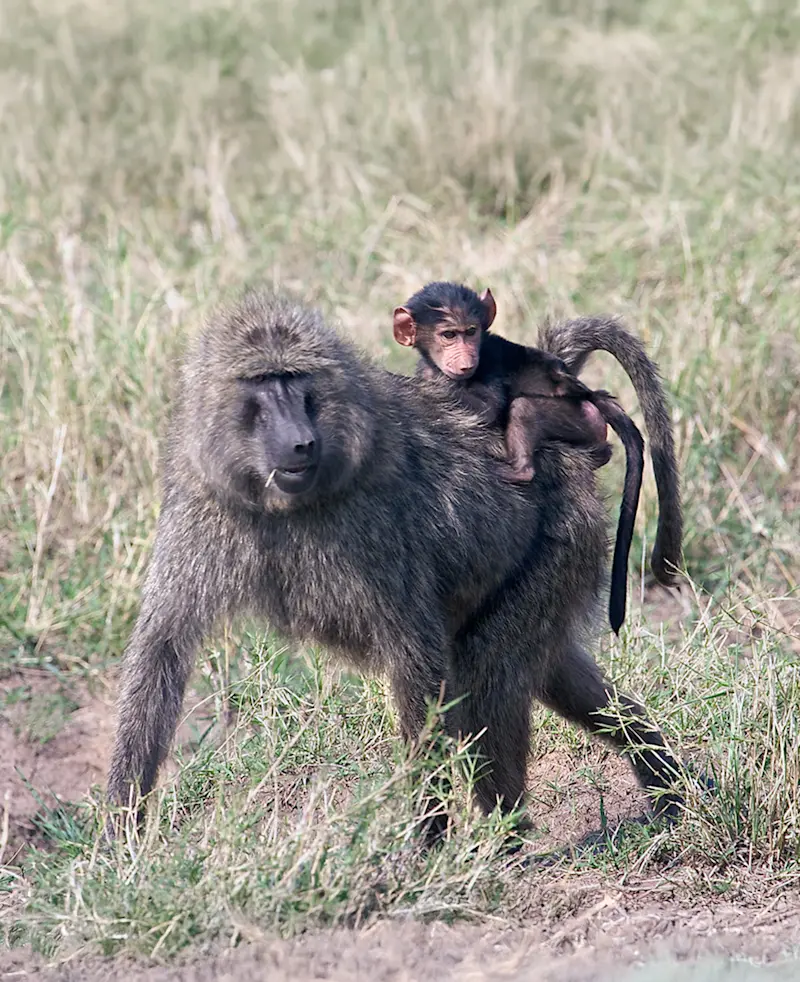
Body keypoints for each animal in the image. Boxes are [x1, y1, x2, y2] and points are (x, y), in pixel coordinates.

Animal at [393, 281, 645, 635]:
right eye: (448, 335)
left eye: (471, 332)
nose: (466, 359)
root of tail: (592, 398)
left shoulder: (489, 366)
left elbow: (487, 408)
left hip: (578, 417)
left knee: (523, 408)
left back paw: (518, 471)